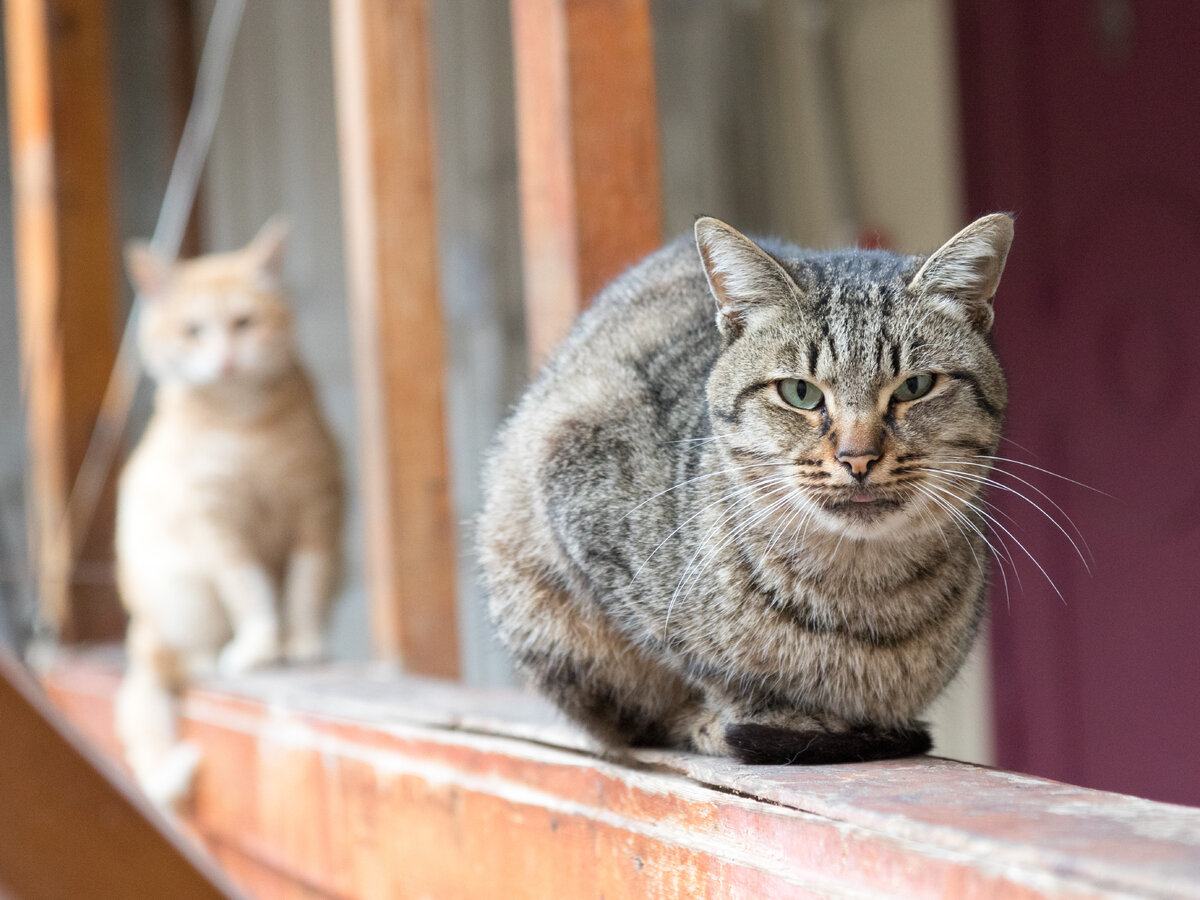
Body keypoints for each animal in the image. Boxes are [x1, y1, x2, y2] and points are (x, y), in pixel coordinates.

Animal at [113, 220, 343, 811]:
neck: (246, 426)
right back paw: (211, 656)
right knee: (175, 662)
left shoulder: (316, 503)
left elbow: (305, 584)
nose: (226, 360)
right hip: (174, 597)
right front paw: (261, 645)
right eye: (193, 331)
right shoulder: (214, 521)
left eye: (244, 323)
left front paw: (302, 643)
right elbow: (249, 587)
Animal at [477, 214, 1012, 763]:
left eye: (914, 386)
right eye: (800, 392)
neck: (861, 590)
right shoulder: (576, 485)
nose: (857, 456)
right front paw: (744, 717)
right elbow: (688, 661)